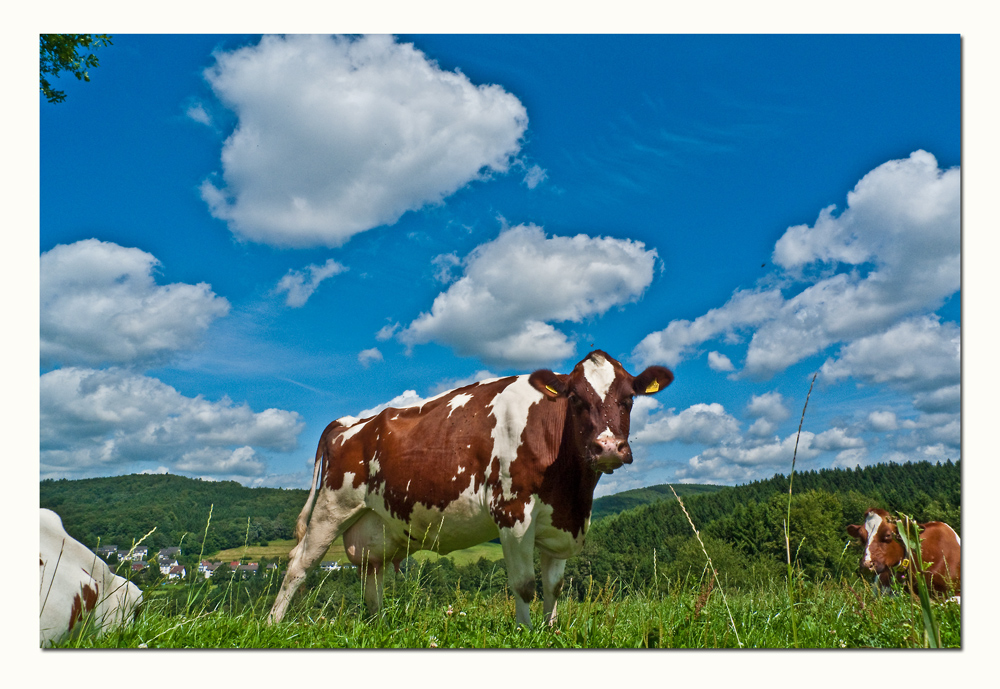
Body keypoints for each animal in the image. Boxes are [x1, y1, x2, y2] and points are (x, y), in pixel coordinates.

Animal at [270, 352, 672, 628]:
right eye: (575, 399)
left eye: (629, 399)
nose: (608, 448)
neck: (572, 493)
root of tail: (352, 422)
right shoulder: (512, 513)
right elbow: (525, 585)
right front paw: (526, 633)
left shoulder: (560, 522)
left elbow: (554, 586)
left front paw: (551, 630)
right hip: (332, 507)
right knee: (299, 566)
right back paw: (273, 624)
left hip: (373, 525)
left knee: (371, 573)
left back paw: (377, 626)